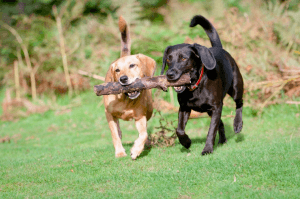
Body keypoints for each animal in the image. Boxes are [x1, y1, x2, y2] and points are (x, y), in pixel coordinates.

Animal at [103, 15, 156, 160]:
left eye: (132, 65)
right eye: (117, 70)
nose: (123, 79)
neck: (125, 100)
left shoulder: (140, 116)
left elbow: (143, 134)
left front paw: (136, 149)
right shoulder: (108, 113)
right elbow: (114, 134)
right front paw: (120, 152)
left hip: (150, 110)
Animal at [161, 15, 243, 155]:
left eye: (183, 58)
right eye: (168, 59)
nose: (170, 74)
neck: (195, 87)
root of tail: (220, 49)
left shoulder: (216, 107)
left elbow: (211, 130)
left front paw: (207, 149)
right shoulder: (184, 108)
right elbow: (179, 129)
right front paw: (186, 142)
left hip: (236, 87)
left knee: (239, 103)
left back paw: (237, 124)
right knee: (221, 123)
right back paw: (222, 140)